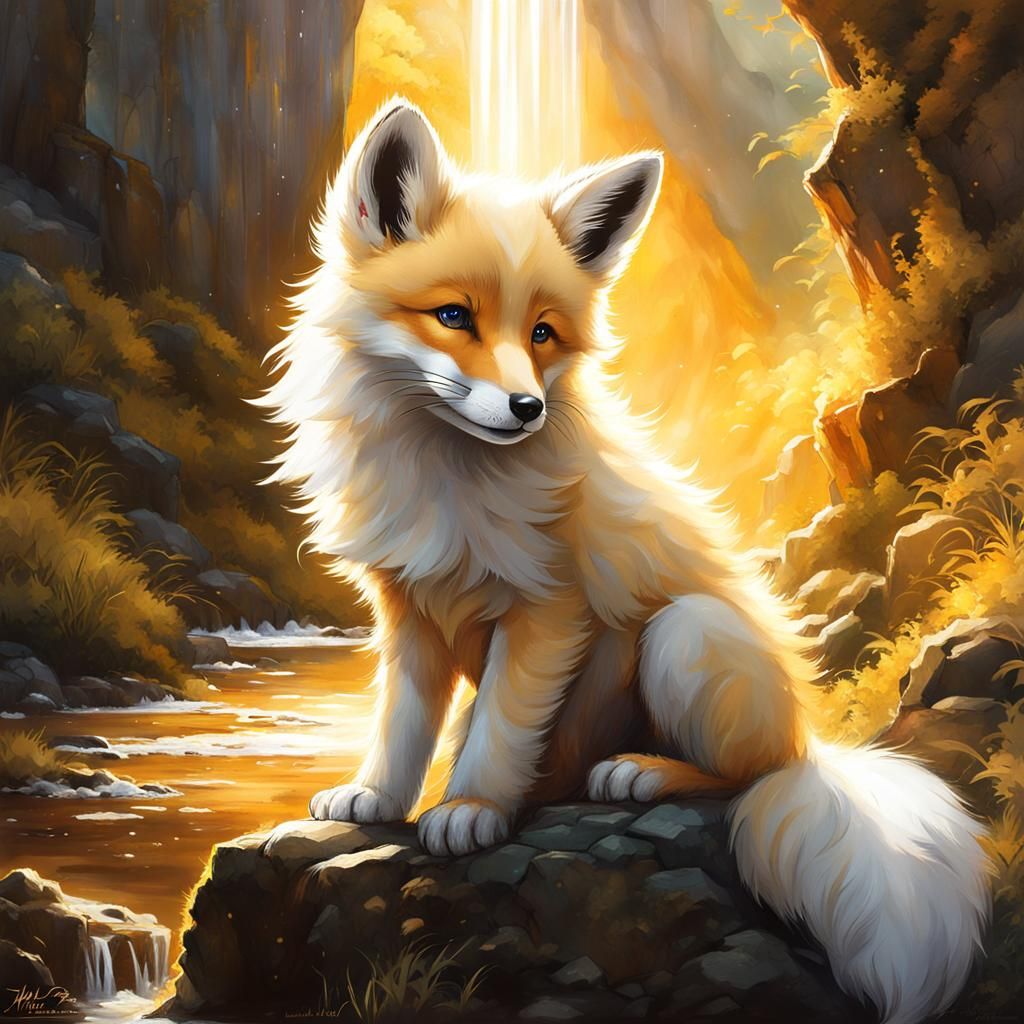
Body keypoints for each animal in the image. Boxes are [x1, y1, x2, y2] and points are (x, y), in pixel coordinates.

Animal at [258, 99, 990, 1024]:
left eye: (542, 333)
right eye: (454, 317)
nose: (525, 408)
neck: (450, 482)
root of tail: (812, 744)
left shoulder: (546, 609)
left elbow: (497, 731)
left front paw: (468, 808)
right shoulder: (409, 609)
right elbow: (401, 724)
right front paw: (380, 801)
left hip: (686, 636)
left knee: (742, 775)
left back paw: (642, 773)